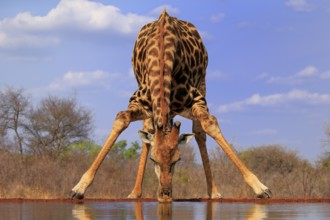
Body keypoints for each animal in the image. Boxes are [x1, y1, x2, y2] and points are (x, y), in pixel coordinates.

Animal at [69, 10, 270, 203]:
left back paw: (213, 192)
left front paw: (260, 188)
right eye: (154, 159)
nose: (165, 195)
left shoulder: (196, 99)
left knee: (199, 132)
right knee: (147, 132)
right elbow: (122, 119)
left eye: (178, 159)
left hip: (202, 82)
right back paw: (135, 193)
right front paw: (79, 188)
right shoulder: (138, 102)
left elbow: (209, 124)